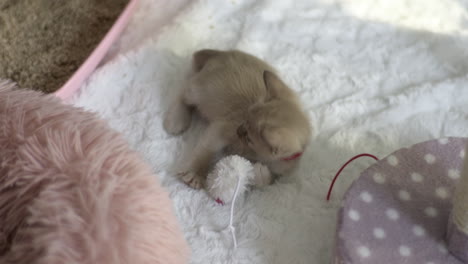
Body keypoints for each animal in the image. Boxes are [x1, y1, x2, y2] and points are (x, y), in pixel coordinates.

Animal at [163, 49, 312, 189]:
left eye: (249, 138)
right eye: (245, 119)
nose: (238, 130)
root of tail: (222, 53)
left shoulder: (283, 172)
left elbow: (269, 181)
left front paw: (261, 173)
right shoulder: (222, 128)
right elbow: (206, 149)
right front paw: (196, 173)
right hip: (200, 90)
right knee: (183, 89)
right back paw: (176, 119)